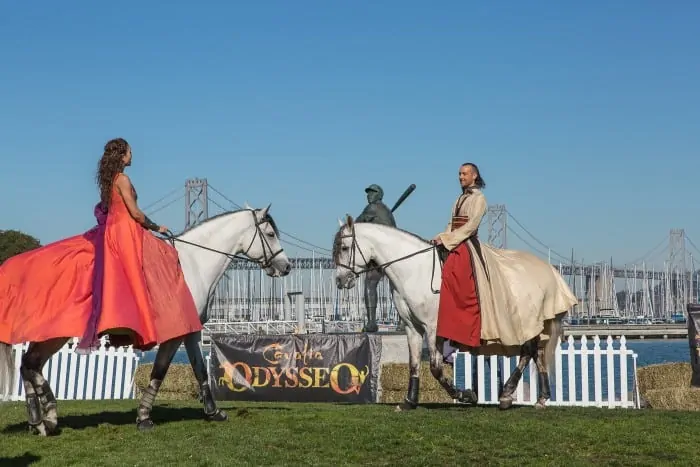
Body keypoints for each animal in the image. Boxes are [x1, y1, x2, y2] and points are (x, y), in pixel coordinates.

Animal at [0, 205, 290, 436]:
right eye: (271, 234)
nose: (286, 266)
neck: (191, 265)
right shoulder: (174, 335)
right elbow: (159, 371)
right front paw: (143, 417)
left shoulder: (191, 332)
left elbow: (199, 369)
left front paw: (213, 412)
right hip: (55, 334)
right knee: (30, 365)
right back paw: (45, 418)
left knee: (28, 365)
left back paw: (40, 419)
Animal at [334, 218, 568, 412]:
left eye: (345, 248)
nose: (339, 280)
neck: (414, 270)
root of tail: (548, 270)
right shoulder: (413, 328)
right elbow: (414, 364)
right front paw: (409, 401)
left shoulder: (433, 328)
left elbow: (436, 368)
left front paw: (465, 394)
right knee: (537, 352)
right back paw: (541, 398)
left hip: (525, 322)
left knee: (528, 351)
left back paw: (506, 394)